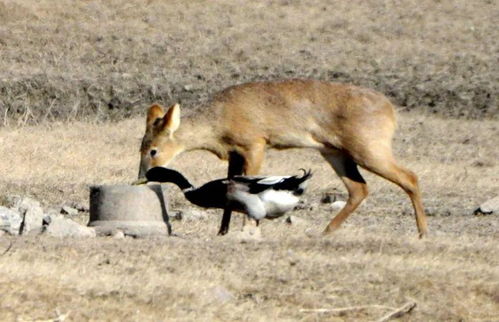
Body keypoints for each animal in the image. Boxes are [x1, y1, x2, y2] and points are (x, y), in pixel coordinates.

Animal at [138, 79, 430, 238]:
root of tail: (390, 110)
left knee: (410, 177)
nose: (141, 178)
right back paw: (326, 231)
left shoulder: (255, 145)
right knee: (359, 189)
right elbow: (229, 190)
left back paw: (422, 232)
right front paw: (222, 232)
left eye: (154, 150)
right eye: (141, 146)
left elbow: (245, 186)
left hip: (369, 150)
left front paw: (246, 230)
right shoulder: (234, 154)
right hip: (335, 153)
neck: (217, 118)